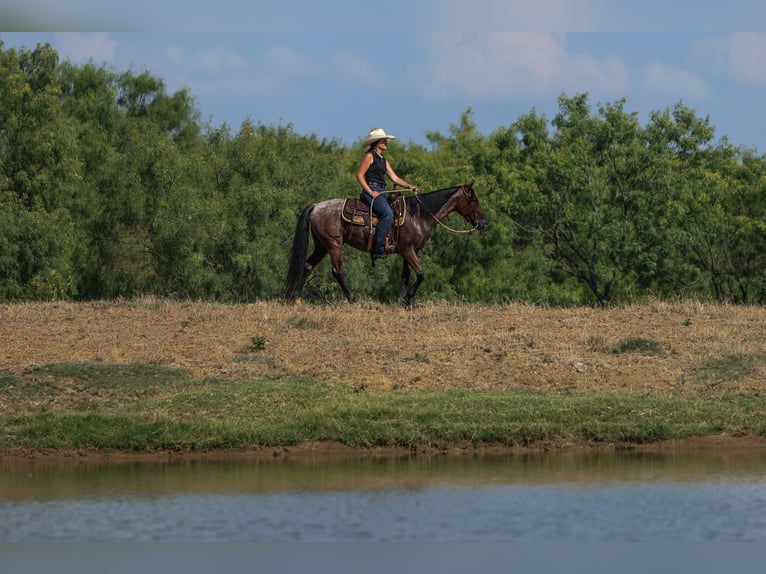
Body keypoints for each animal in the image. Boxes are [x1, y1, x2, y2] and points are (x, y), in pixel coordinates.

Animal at [284, 183, 488, 310]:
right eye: (474, 200)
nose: (484, 223)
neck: (418, 215)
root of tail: (316, 206)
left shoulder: (408, 251)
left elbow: (406, 275)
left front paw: (403, 301)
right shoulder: (408, 251)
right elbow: (421, 273)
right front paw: (407, 298)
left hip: (321, 246)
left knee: (307, 265)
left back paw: (296, 298)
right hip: (334, 245)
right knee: (338, 271)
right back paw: (353, 300)